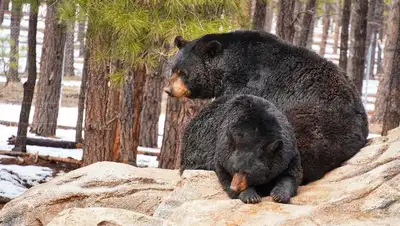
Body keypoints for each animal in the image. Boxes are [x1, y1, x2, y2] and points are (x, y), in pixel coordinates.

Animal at [166, 30, 368, 185]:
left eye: (184, 73)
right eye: (173, 69)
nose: (168, 90)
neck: (228, 67)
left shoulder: (249, 83)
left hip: (313, 122)